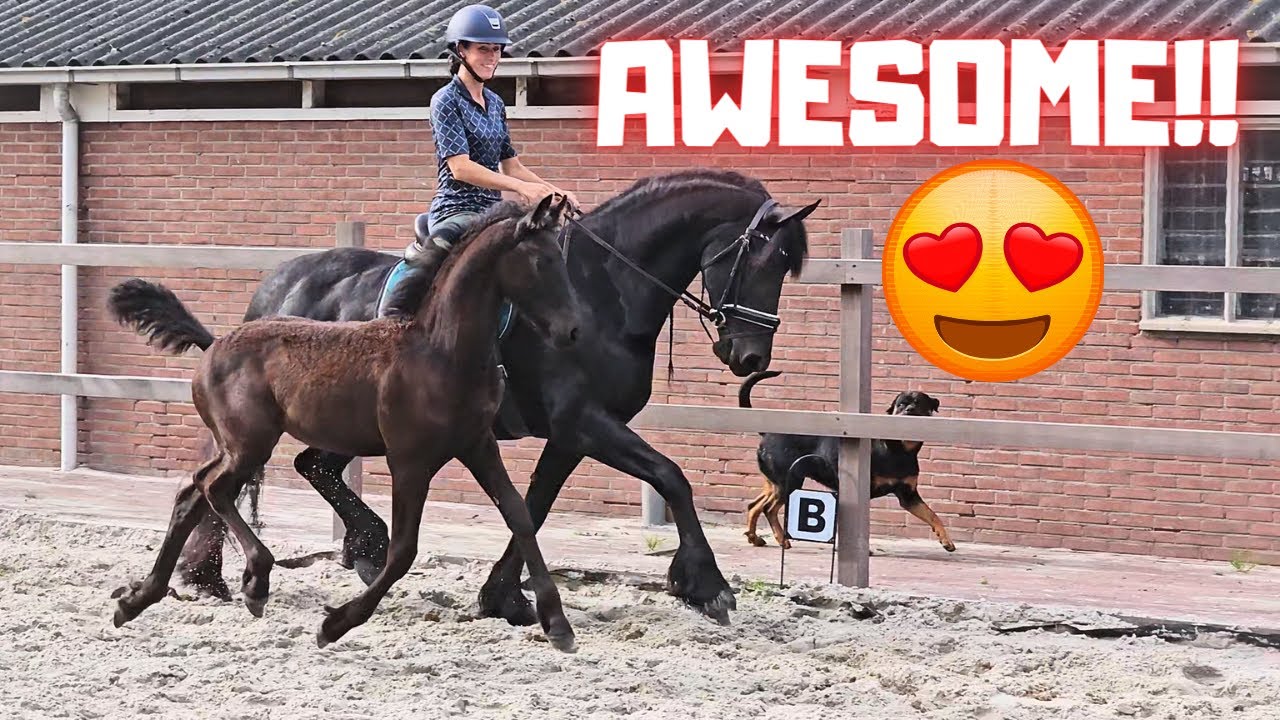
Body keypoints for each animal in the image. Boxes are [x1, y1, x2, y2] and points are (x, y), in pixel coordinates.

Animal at [107, 194, 583, 651]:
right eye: (541, 261)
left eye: (563, 261)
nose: (573, 332)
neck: (440, 353)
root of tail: (214, 343)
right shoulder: (408, 459)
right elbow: (403, 550)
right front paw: (335, 624)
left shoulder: (477, 444)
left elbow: (520, 516)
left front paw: (558, 626)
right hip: (250, 444)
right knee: (214, 487)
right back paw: (255, 581)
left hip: (237, 444)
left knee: (192, 493)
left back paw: (137, 599)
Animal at [159, 168, 819, 626]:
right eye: (762, 260)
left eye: (786, 267)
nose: (751, 359)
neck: (603, 293)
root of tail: (279, 284)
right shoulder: (586, 422)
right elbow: (671, 476)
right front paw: (706, 586)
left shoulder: (570, 434)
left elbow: (535, 504)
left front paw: (503, 596)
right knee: (253, 476)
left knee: (303, 468)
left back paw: (320, 557)